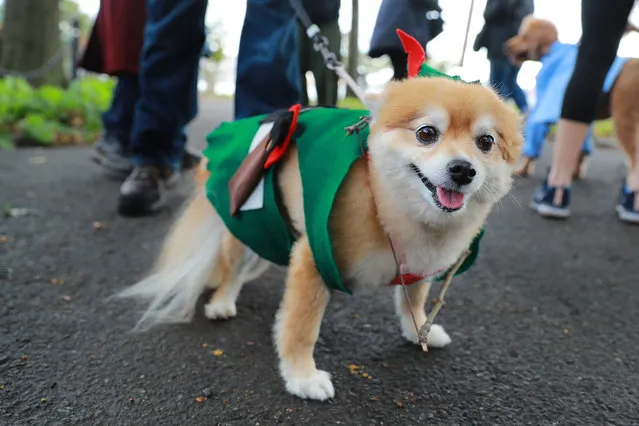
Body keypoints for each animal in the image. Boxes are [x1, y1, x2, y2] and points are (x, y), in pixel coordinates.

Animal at [115, 70, 524, 402]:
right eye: (427, 134)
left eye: (486, 142)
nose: (463, 170)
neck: (385, 203)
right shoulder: (313, 261)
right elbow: (301, 326)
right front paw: (302, 377)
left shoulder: (419, 265)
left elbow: (415, 299)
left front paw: (416, 330)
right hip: (246, 221)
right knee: (232, 267)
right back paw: (222, 302)